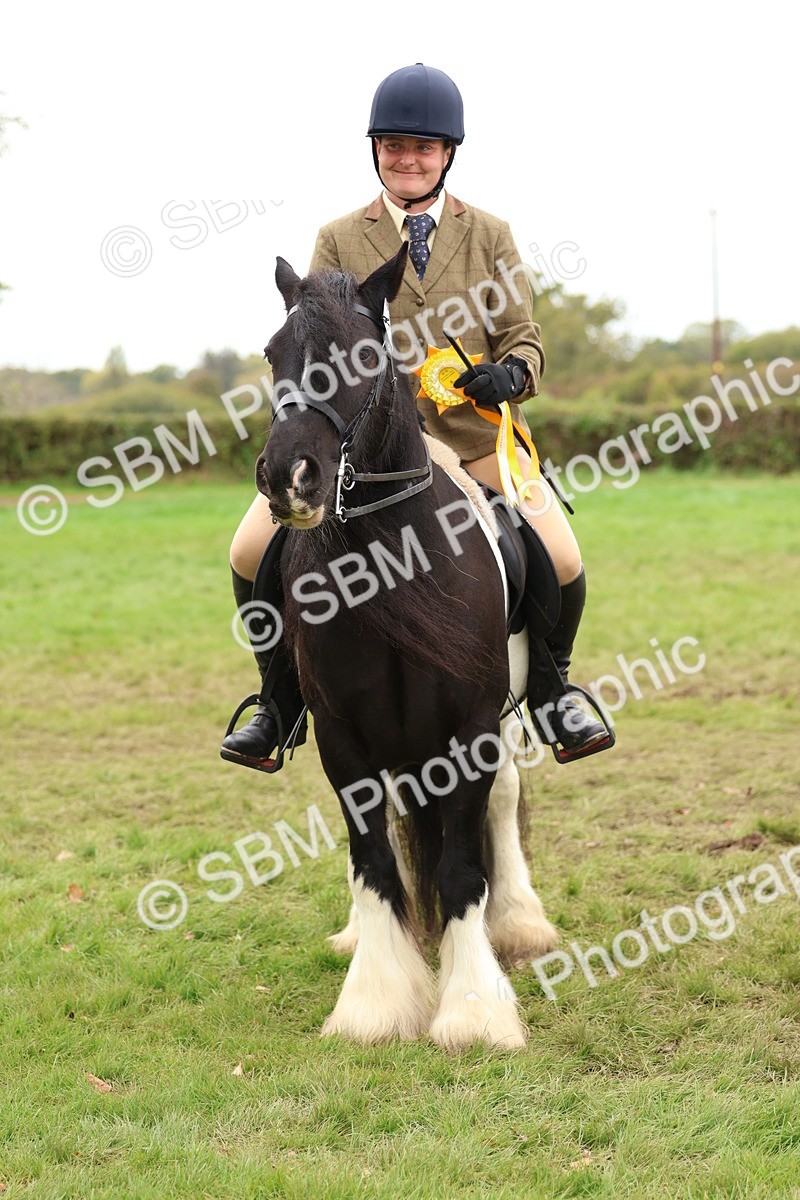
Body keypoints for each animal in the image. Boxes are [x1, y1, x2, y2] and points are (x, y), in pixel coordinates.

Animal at [256, 243, 557, 1049]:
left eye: (365, 355)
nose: (289, 477)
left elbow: (459, 869)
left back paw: (520, 924)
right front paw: (376, 1002)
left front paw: (475, 1012)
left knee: (500, 809)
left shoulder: (471, 729)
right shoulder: (343, 735)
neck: (389, 560)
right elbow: (374, 862)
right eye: (272, 353)